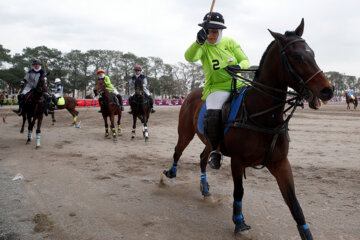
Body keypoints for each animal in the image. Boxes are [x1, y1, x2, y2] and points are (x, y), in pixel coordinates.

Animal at [162, 19, 332, 239]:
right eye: (297, 56)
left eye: (312, 53)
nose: (328, 90)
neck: (262, 116)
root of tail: (193, 93)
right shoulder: (238, 161)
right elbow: (239, 192)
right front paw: (239, 221)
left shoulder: (281, 163)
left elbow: (294, 203)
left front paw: (306, 232)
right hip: (185, 132)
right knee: (178, 151)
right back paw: (169, 175)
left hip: (209, 140)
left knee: (202, 157)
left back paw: (205, 188)